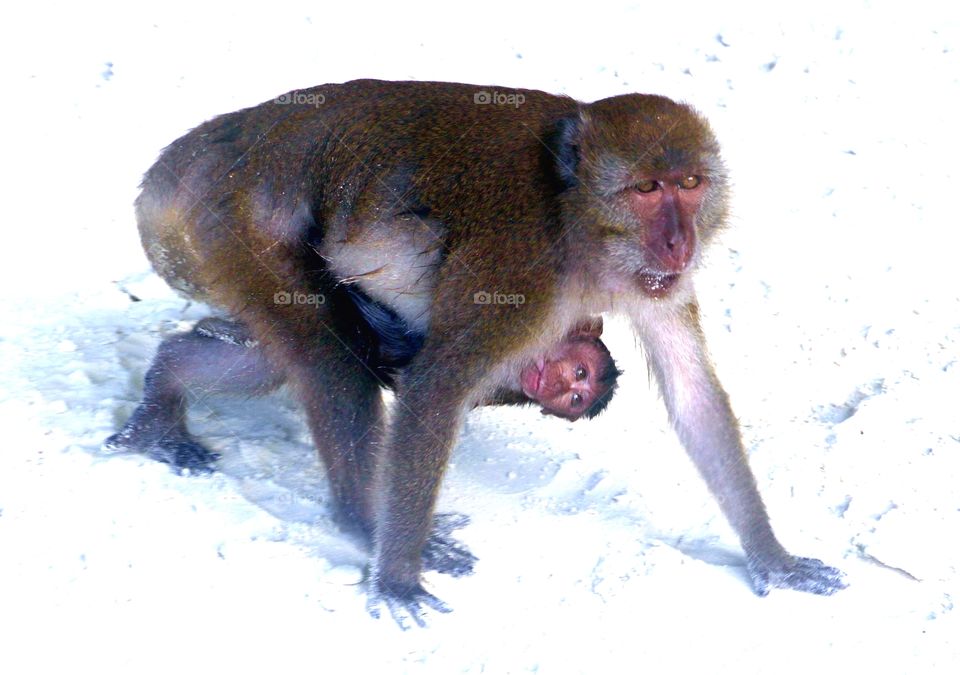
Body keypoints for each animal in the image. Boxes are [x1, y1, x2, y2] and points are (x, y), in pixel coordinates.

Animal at [108, 79, 846, 629]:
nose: (679, 241)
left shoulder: (651, 283)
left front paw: (772, 558)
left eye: (690, 184)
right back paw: (364, 522)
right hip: (227, 223)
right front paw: (397, 578)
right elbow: (438, 387)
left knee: (287, 356)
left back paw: (164, 392)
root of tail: (194, 154)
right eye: (646, 191)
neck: (575, 216)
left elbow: (694, 399)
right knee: (329, 360)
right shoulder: (519, 263)